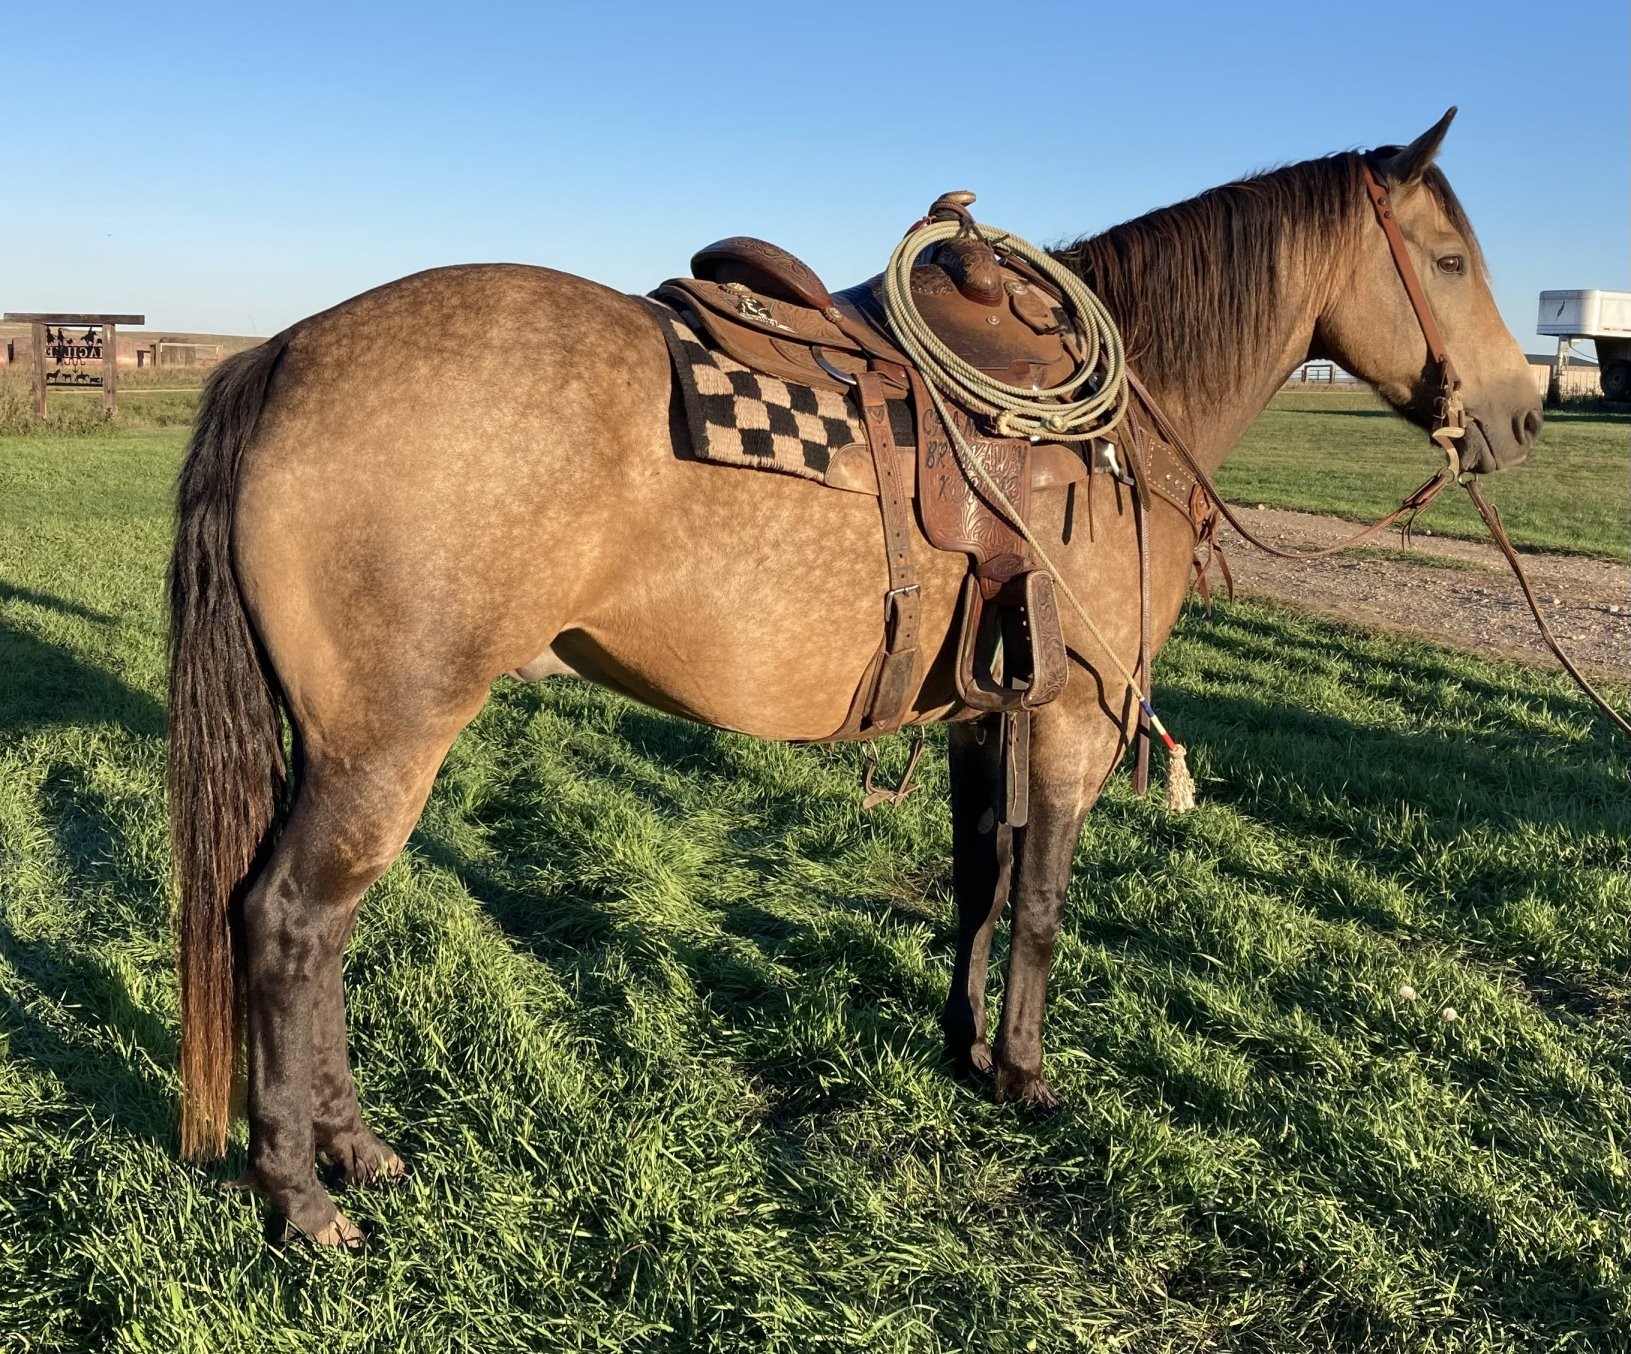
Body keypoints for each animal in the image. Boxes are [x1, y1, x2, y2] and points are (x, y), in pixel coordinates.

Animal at [165, 110, 1539, 1246]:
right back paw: (300, 1196)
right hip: (387, 742)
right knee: (286, 923)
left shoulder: (989, 709)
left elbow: (979, 879)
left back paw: (354, 1149)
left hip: (347, 744)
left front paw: (959, 1046)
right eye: (1449, 262)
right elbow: (1043, 902)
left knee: (321, 930)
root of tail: (281, 352)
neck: (1113, 437)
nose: (1522, 418)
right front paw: (1025, 1074)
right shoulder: (1074, 718)